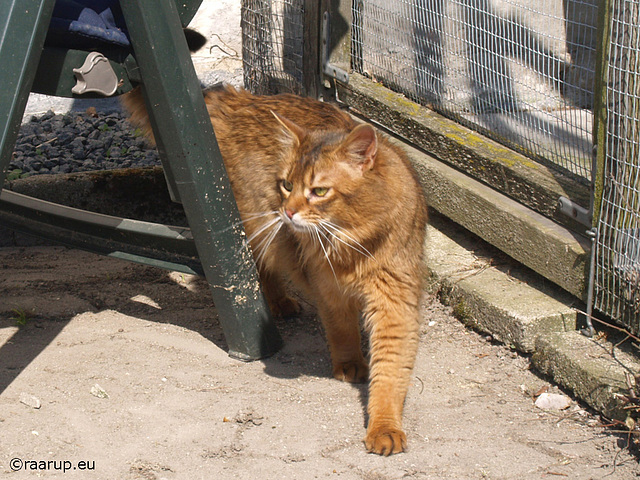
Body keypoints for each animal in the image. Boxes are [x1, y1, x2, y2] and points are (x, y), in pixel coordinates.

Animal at [122, 79, 428, 454]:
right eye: (287, 184)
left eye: (319, 191)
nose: (290, 211)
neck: (350, 244)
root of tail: (236, 99)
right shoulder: (327, 287)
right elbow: (341, 330)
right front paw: (349, 363)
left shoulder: (394, 302)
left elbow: (390, 370)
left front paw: (385, 426)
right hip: (259, 226)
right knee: (260, 268)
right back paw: (279, 302)